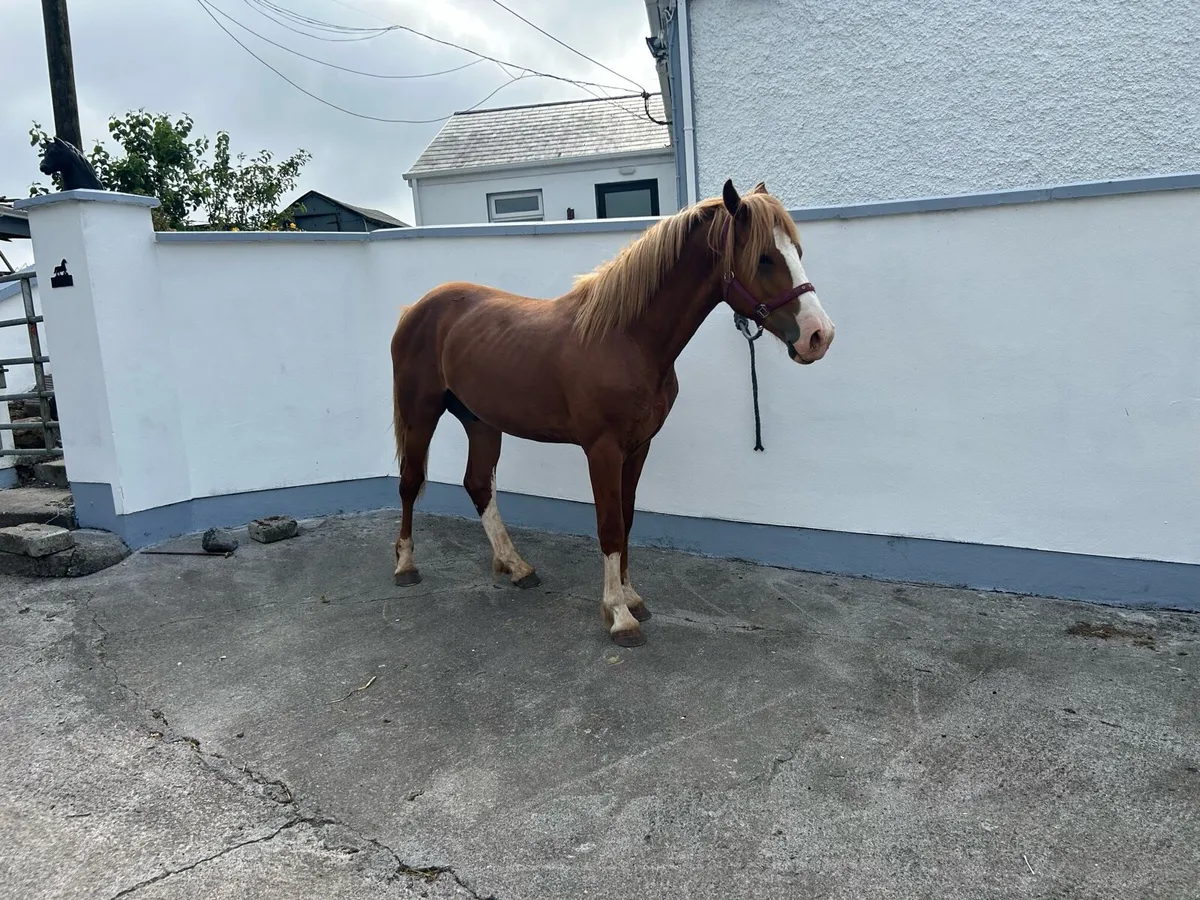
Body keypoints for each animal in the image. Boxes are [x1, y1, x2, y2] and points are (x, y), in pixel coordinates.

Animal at [388, 179, 836, 647]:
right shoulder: (602, 449)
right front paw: (619, 614)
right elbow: (609, 524)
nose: (818, 336)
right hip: (420, 412)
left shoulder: (638, 447)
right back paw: (405, 565)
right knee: (410, 482)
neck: (626, 337)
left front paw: (632, 597)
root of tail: (415, 310)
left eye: (796, 252)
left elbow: (628, 517)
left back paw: (517, 567)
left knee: (478, 485)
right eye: (765, 258)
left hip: (481, 422)